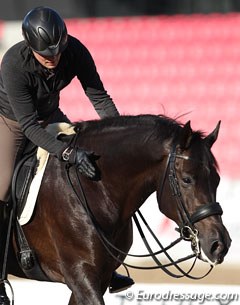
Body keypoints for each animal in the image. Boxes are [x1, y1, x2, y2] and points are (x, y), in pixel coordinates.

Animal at [6, 113, 231, 304]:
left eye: (217, 180)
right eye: (186, 179)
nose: (219, 244)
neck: (95, 187)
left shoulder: (99, 277)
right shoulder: (80, 273)